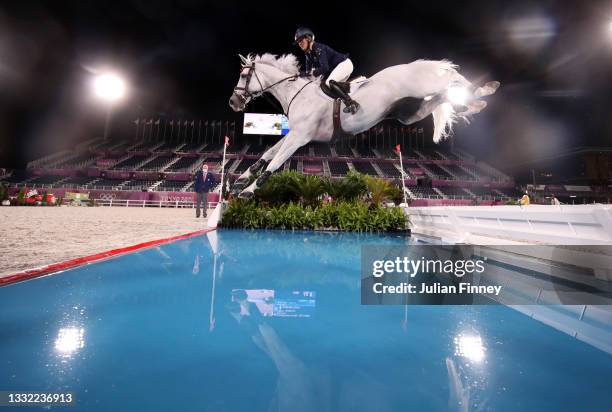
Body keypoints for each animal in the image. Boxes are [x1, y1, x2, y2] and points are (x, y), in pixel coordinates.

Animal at [228, 54, 498, 199]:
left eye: (244, 76)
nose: (233, 102)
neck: (297, 93)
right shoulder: (293, 134)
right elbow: (267, 153)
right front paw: (243, 177)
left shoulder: (299, 137)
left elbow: (274, 163)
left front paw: (248, 190)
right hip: (407, 114)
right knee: (441, 96)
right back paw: (475, 103)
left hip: (422, 87)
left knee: (449, 82)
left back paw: (481, 92)